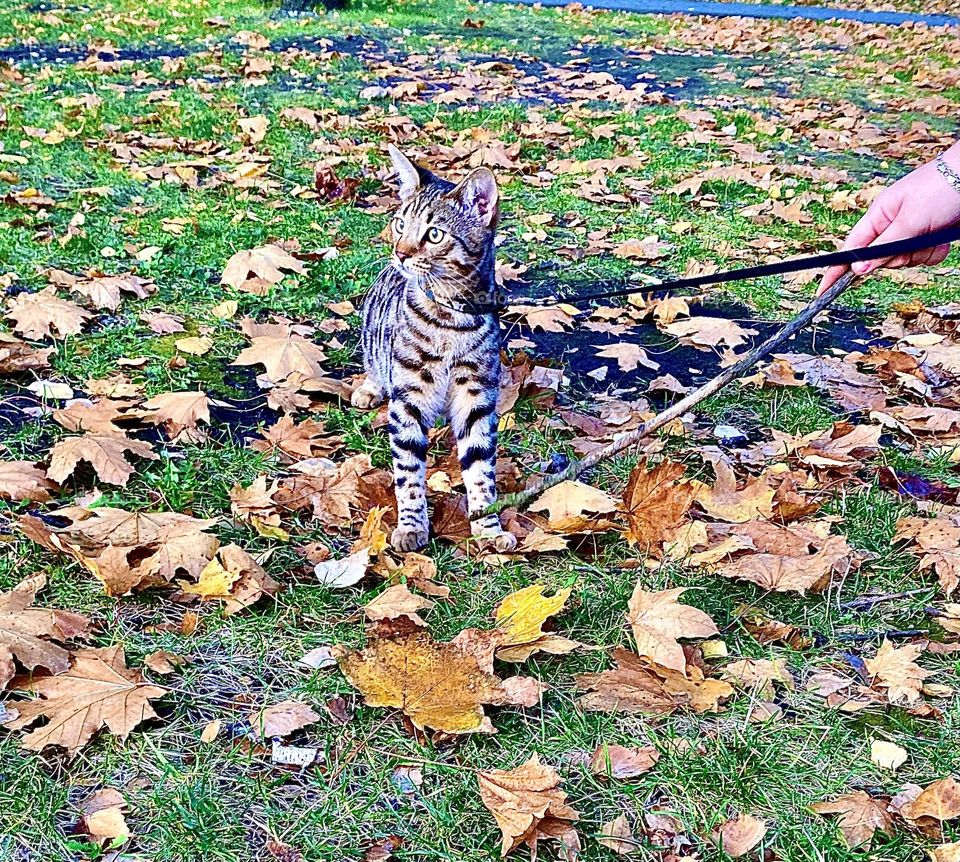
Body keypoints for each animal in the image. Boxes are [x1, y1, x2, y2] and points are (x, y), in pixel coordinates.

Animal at [352, 146, 516, 552]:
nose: (400, 253)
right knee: (374, 363)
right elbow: (408, 473)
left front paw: (488, 528)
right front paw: (412, 526)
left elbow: (480, 469)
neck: (451, 317)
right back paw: (369, 388)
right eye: (400, 224)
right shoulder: (408, 401)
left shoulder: (477, 400)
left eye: (435, 234)